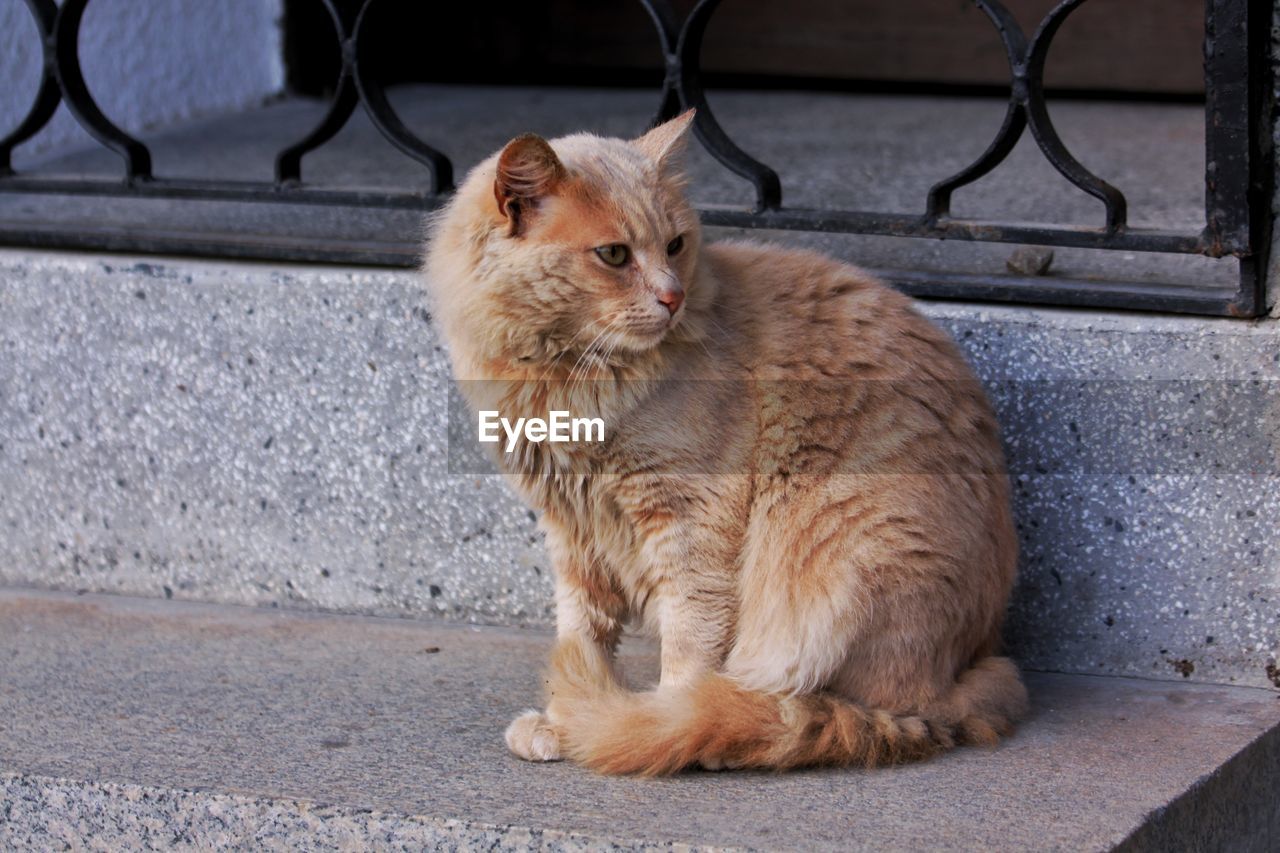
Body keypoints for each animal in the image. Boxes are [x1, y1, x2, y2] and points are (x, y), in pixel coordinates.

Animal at [424, 111, 1024, 768]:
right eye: (614, 255)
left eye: (675, 245)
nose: (672, 297)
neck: (560, 378)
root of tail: (962, 683)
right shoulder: (573, 529)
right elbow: (582, 632)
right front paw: (566, 719)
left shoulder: (691, 519)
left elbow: (690, 642)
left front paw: (651, 721)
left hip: (847, 541)